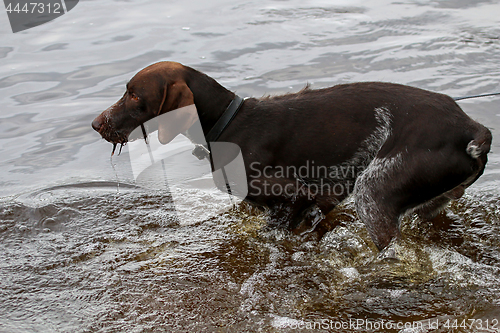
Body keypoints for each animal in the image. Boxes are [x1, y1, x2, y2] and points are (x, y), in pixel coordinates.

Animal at [92, 61, 490, 249]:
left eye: (133, 94)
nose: (96, 124)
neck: (228, 124)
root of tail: (470, 128)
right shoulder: (315, 203)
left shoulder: (300, 195)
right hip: (427, 202)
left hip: (374, 195)